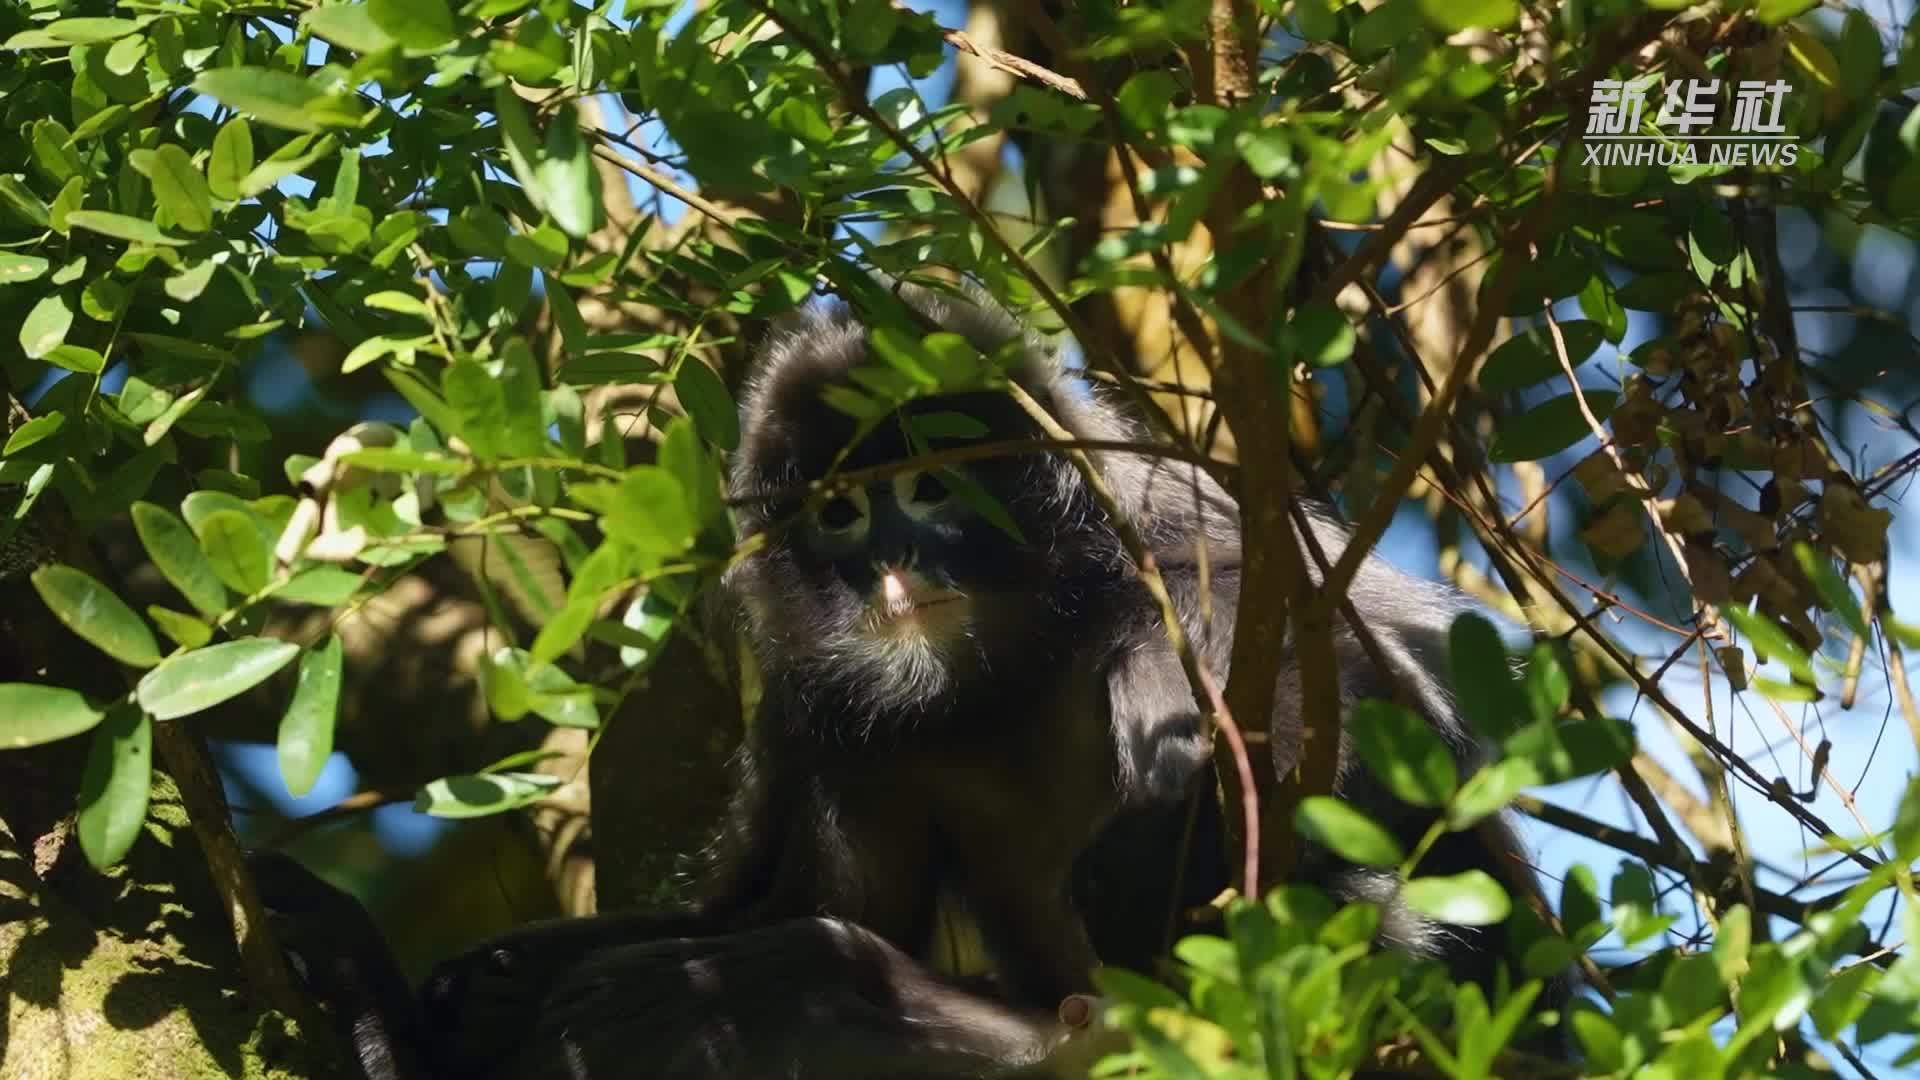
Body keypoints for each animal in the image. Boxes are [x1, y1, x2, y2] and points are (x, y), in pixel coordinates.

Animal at [247, 278, 1551, 1076]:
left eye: (932, 487)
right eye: (841, 512)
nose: (891, 571)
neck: (1000, 680)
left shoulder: (1188, 547)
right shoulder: (825, 713)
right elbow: (758, 905)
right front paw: (436, 989)